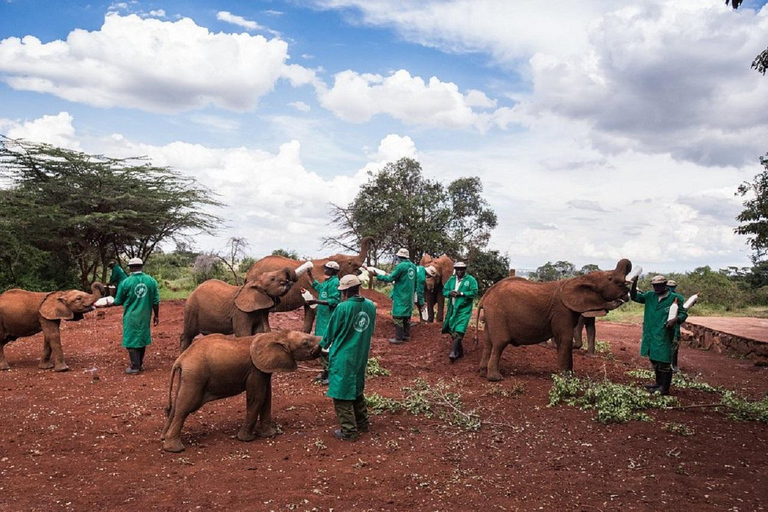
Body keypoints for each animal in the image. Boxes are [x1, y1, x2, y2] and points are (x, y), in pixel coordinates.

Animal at [161, 330, 320, 453]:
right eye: (305, 342)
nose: (321, 344)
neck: (277, 334)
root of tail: (181, 359)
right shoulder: (254, 370)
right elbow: (257, 398)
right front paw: (246, 439)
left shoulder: (263, 369)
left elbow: (267, 397)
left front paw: (269, 435)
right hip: (196, 376)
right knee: (185, 407)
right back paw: (175, 449)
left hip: (187, 377)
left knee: (176, 404)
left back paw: (163, 438)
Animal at [477, 259, 632, 380]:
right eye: (610, 278)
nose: (626, 295)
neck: (582, 278)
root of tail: (485, 296)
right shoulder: (562, 311)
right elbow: (564, 339)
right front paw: (566, 379)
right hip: (498, 313)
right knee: (500, 343)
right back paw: (495, 378)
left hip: (491, 315)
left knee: (488, 342)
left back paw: (482, 372)